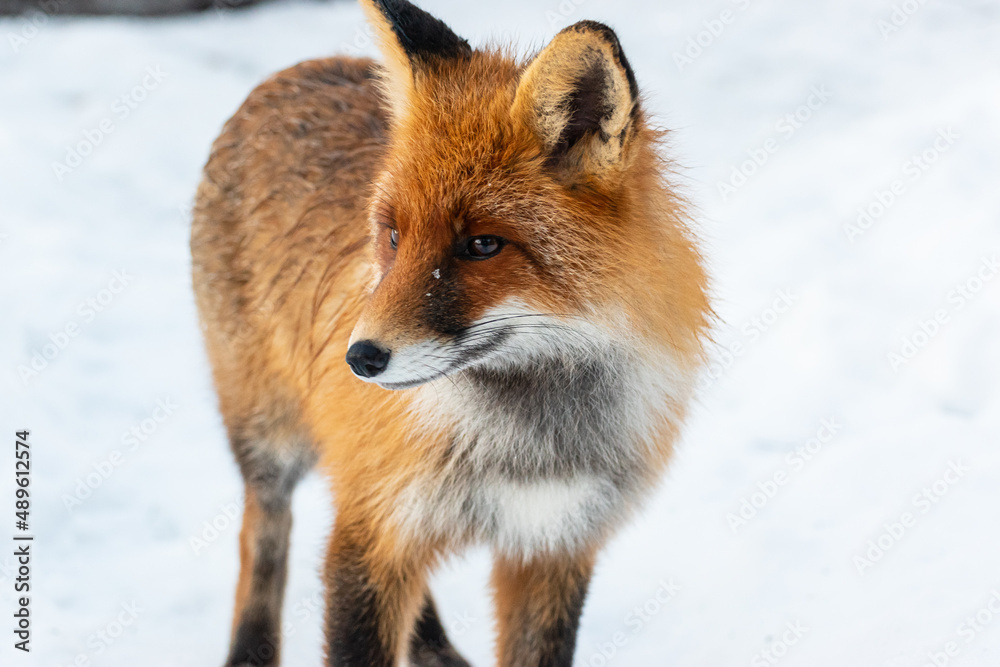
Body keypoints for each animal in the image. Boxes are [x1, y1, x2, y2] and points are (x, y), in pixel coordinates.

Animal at [191, 0, 710, 665]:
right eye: (392, 235)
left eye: (482, 245)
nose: (359, 358)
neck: (526, 445)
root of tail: (299, 69)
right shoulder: (371, 534)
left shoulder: (554, 543)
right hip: (269, 438)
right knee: (263, 534)